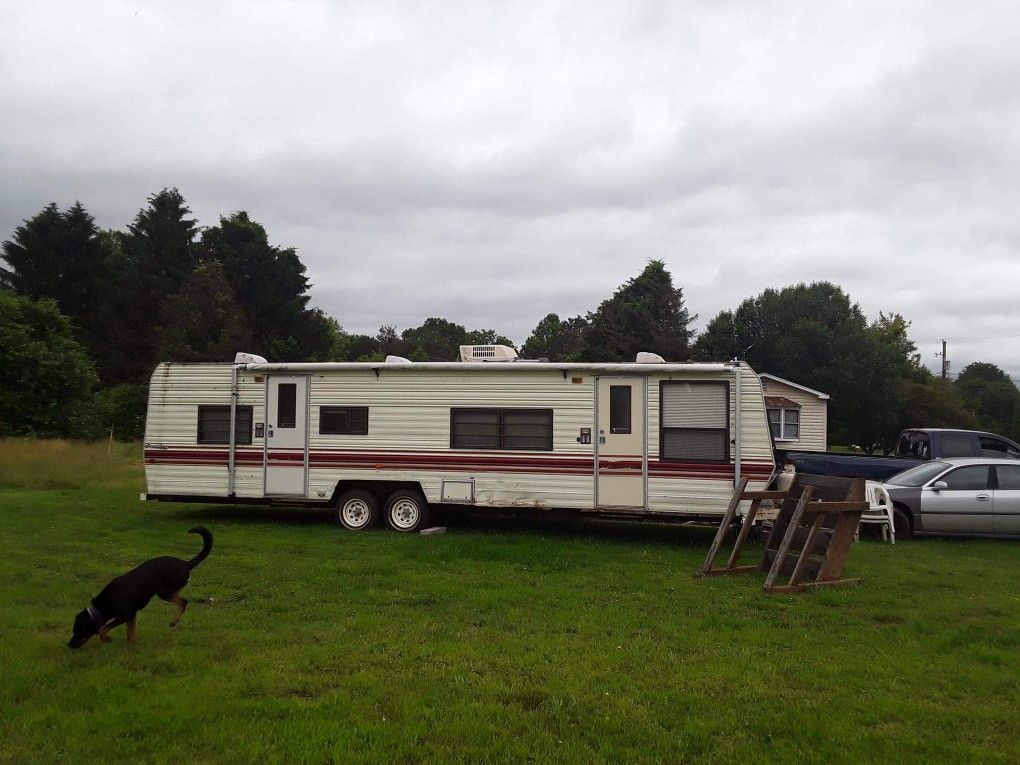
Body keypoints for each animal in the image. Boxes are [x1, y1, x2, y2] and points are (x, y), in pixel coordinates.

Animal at [67, 526, 211, 648]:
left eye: (78, 631)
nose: (69, 645)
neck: (99, 609)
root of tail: (186, 564)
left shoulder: (125, 615)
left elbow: (102, 629)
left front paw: (106, 639)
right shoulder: (132, 615)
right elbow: (130, 633)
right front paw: (131, 645)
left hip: (163, 592)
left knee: (184, 602)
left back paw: (174, 621)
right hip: (166, 591)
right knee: (183, 601)